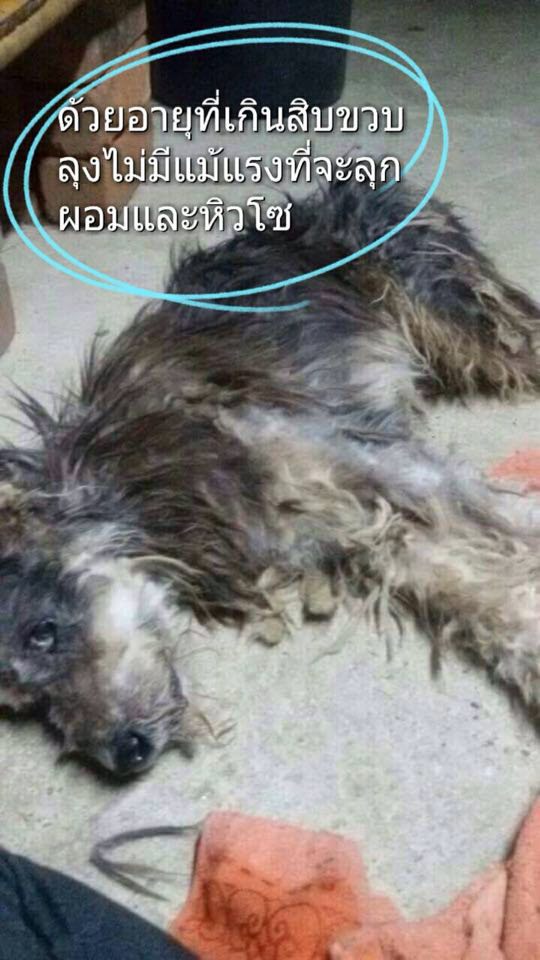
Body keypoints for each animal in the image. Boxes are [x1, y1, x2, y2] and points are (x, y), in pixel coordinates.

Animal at [0, 180, 538, 775]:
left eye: (42, 633)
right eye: (23, 700)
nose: (125, 754)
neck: (137, 490)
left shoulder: (373, 461)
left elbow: (507, 515)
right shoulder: (360, 528)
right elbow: (480, 598)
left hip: (463, 322)